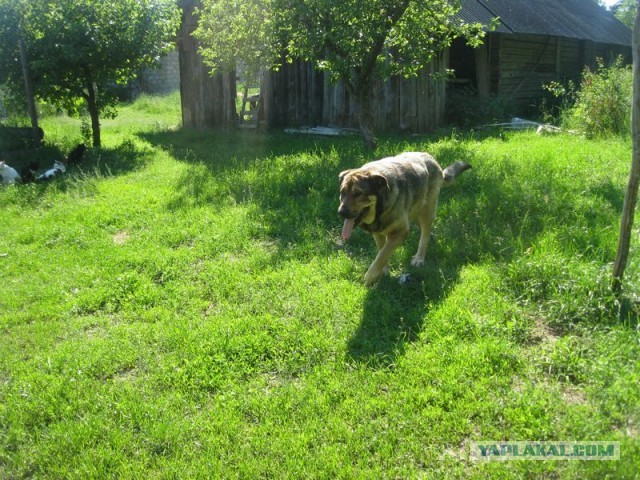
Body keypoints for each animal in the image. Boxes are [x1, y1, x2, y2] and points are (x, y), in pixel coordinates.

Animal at [338, 152, 472, 284]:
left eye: (358, 193)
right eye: (342, 193)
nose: (341, 212)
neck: (381, 208)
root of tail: (432, 159)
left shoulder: (400, 233)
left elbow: (383, 254)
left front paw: (371, 275)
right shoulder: (378, 233)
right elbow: (382, 252)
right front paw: (383, 270)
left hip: (426, 210)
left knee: (424, 235)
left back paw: (419, 258)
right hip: (416, 211)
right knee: (425, 230)